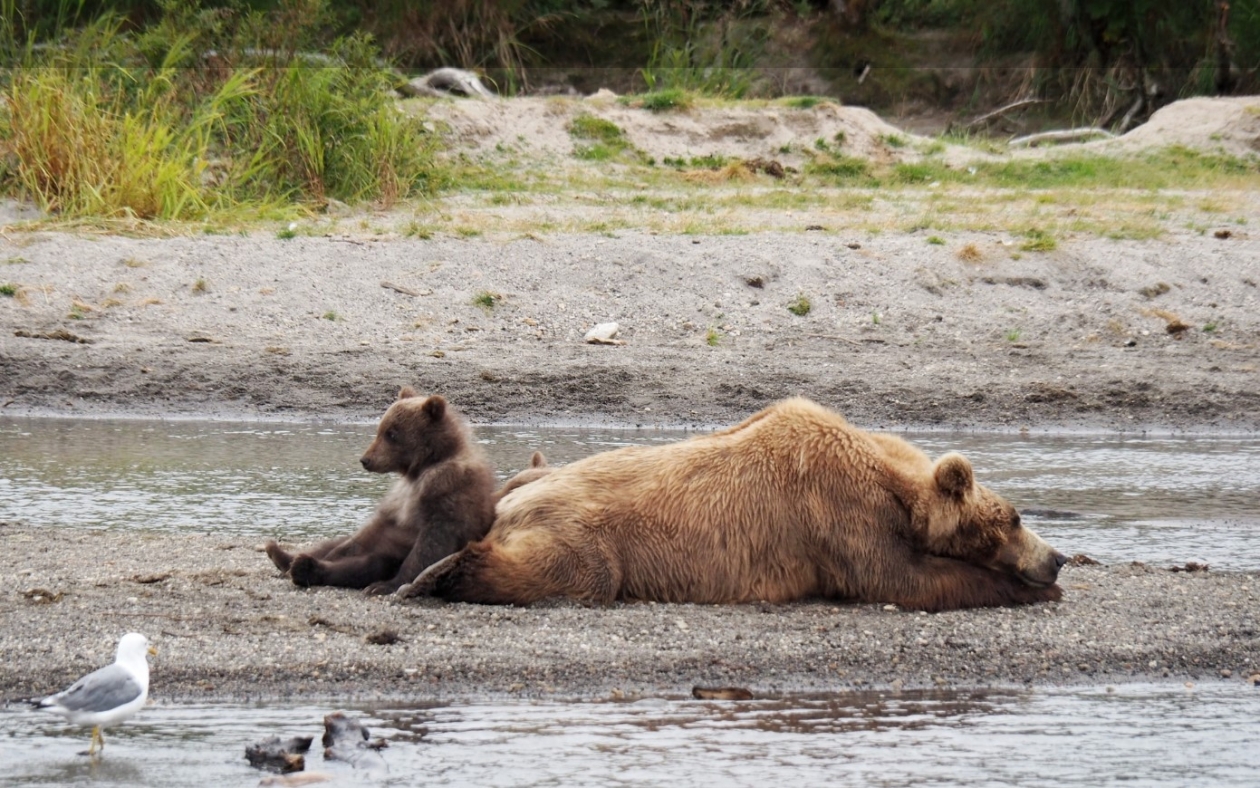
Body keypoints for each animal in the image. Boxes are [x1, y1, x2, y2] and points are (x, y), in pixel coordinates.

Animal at [398, 395, 1068, 612]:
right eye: (1014, 517)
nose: (1057, 557)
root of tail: (514, 500)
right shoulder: (838, 516)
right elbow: (903, 578)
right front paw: (1023, 587)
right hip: (587, 531)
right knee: (576, 573)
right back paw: (441, 573)